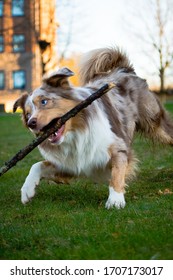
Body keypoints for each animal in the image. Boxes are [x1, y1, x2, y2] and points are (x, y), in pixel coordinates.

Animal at [13, 48, 173, 209]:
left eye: (44, 101)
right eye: (27, 114)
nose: (31, 123)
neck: (76, 134)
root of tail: (124, 69)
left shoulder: (118, 147)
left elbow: (116, 174)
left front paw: (115, 200)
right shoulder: (71, 164)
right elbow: (37, 165)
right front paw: (27, 190)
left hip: (155, 123)